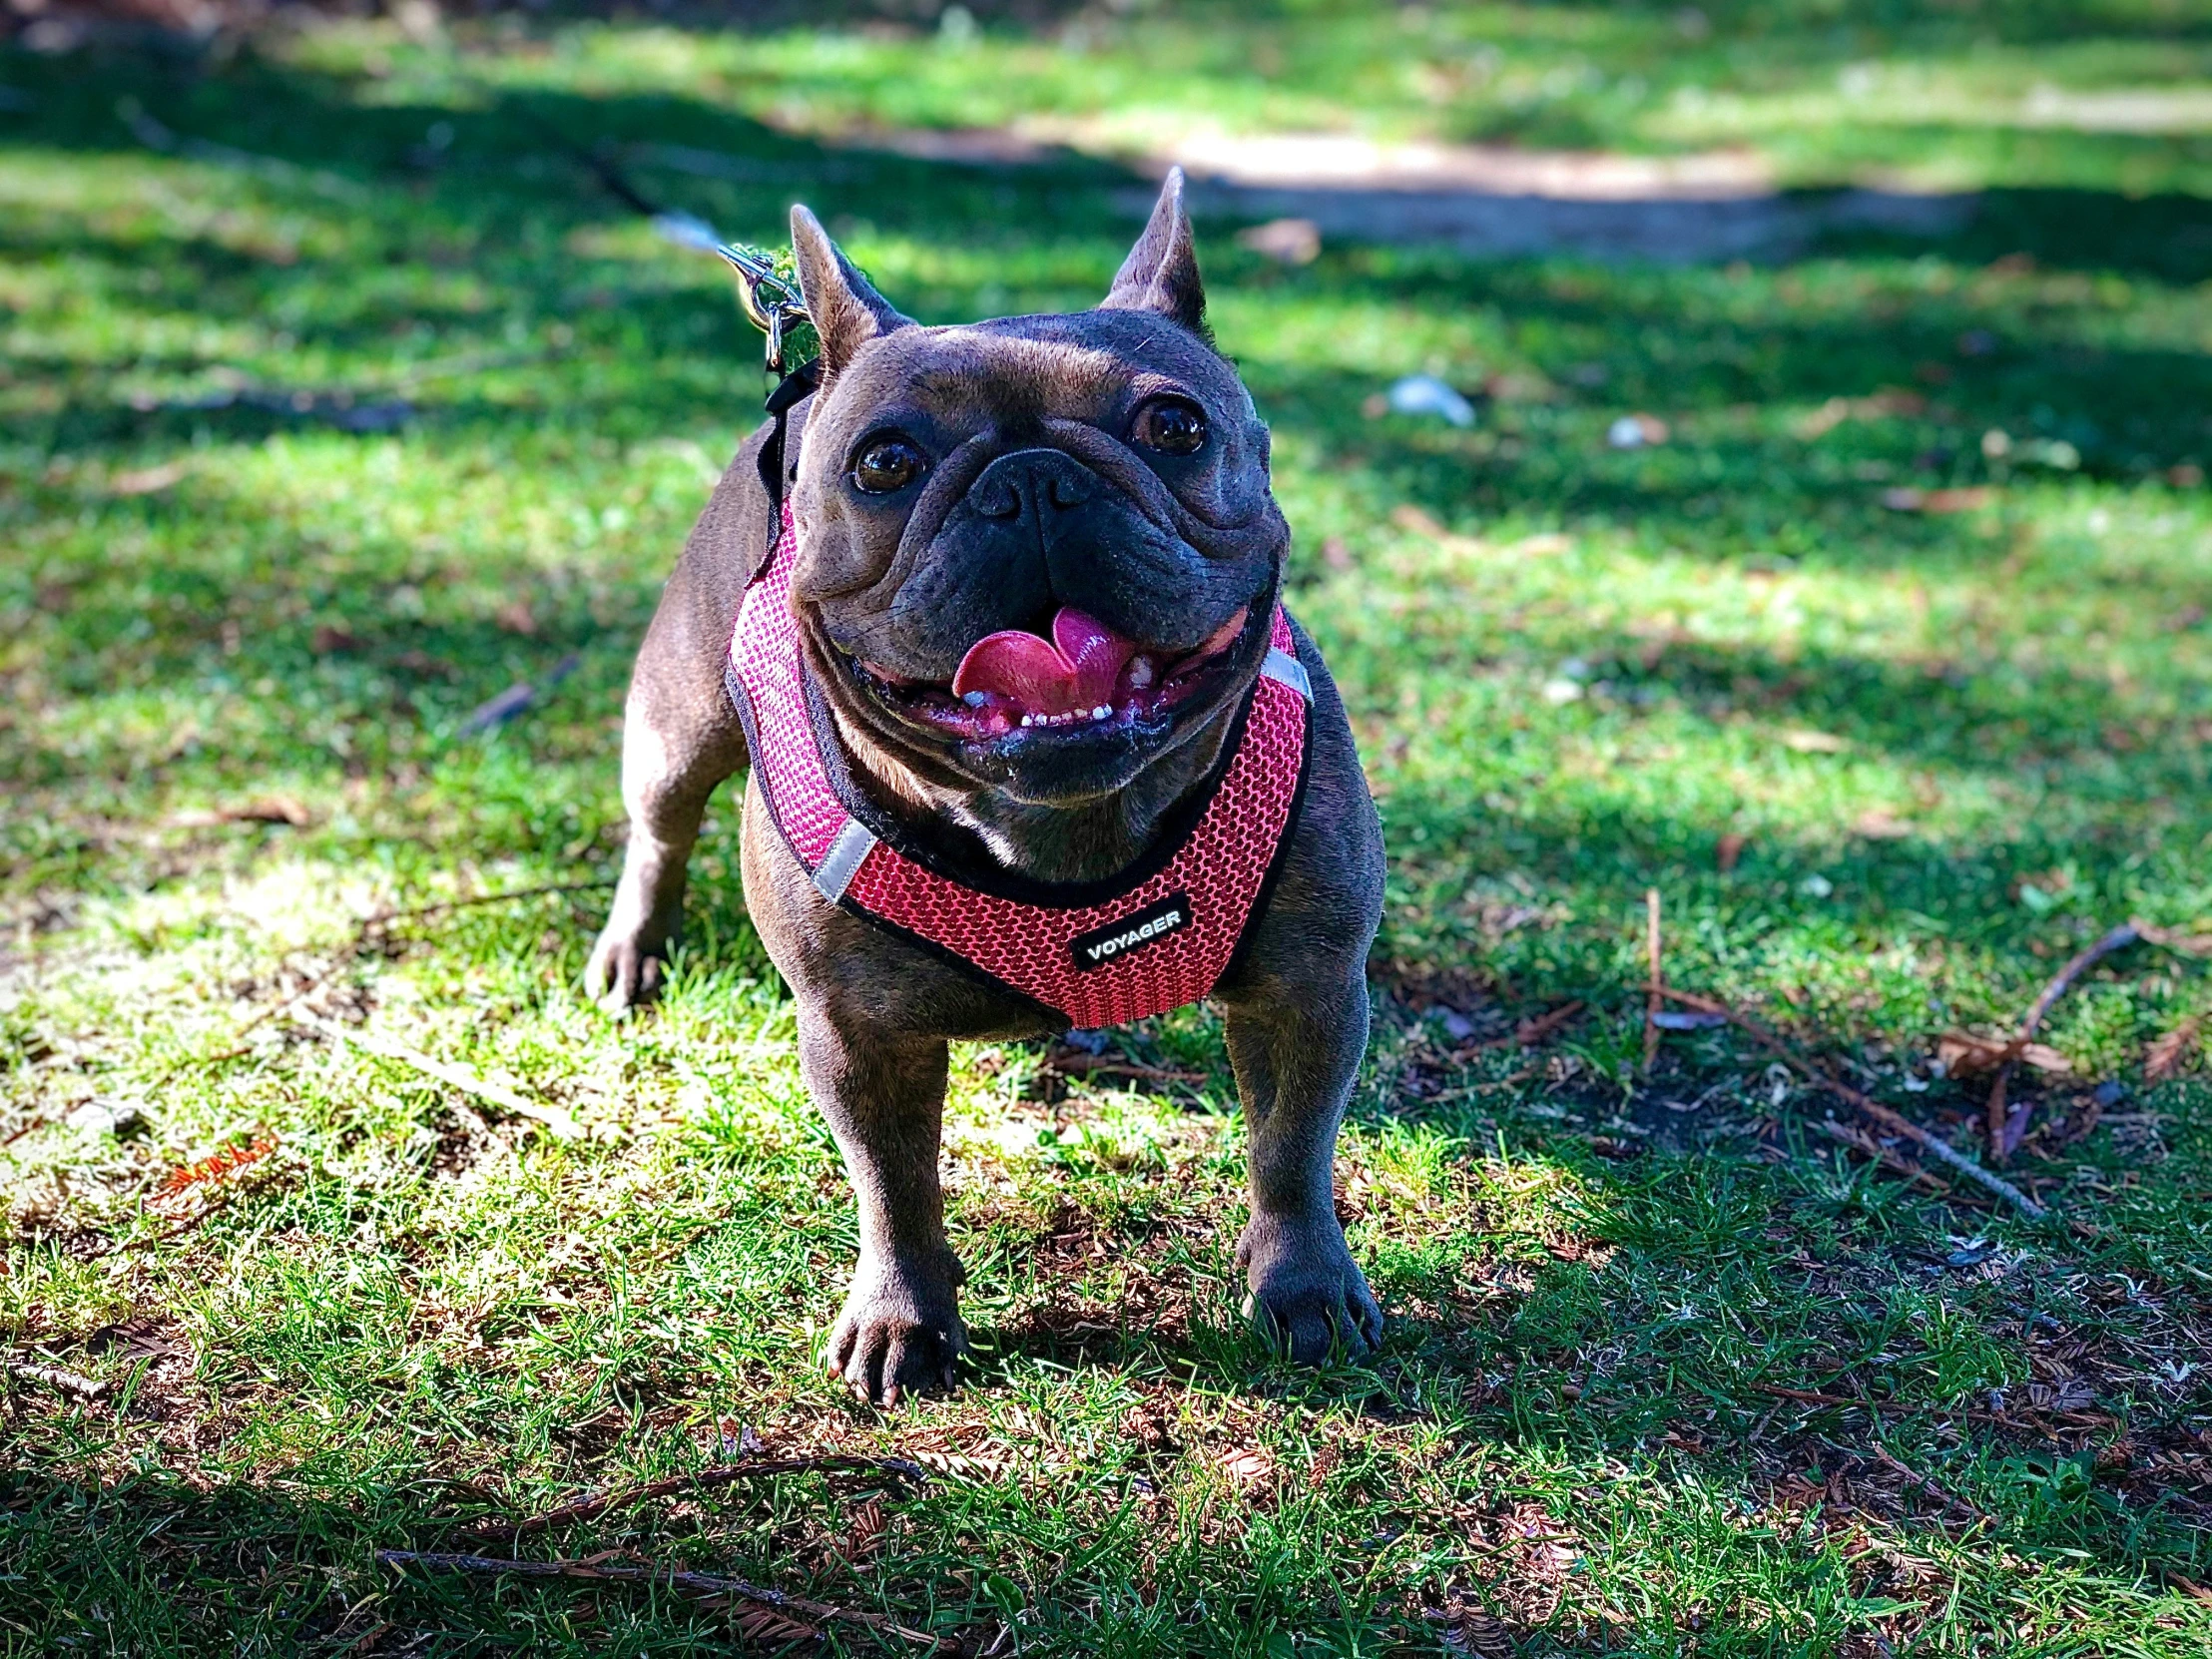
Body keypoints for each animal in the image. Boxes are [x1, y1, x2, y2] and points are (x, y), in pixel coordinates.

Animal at [588, 176, 1380, 1406]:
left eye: (1173, 427)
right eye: (884, 464)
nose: (1032, 480)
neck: (1063, 828)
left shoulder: (1308, 988)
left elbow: (1291, 1151)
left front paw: (1302, 1285)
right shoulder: (857, 1035)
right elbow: (894, 1185)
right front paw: (903, 1317)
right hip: (674, 728)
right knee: (659, 831)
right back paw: (633, 950)